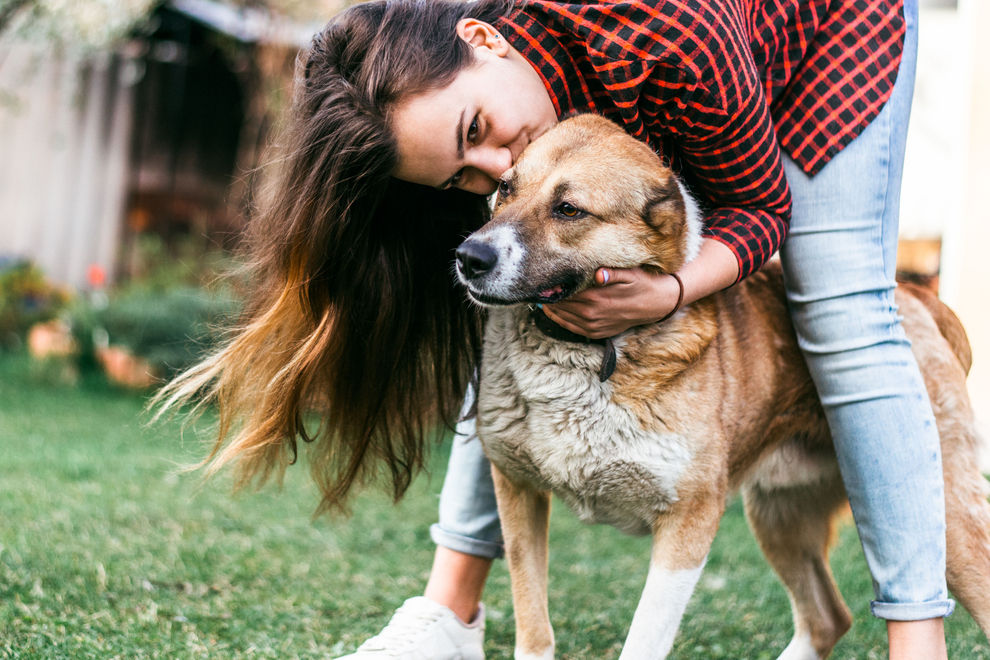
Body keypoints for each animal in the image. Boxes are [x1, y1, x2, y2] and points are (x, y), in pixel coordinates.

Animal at [458, 116, 990, 656]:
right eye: (506, 188)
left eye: (568, 209)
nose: (468, 257)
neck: (591, 352)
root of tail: (916, 296)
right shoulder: (518, 493)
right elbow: (533, 624)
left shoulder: (689, 523)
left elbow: (644, 637)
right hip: (778, 516)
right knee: (828, 617)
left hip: (943, 519)